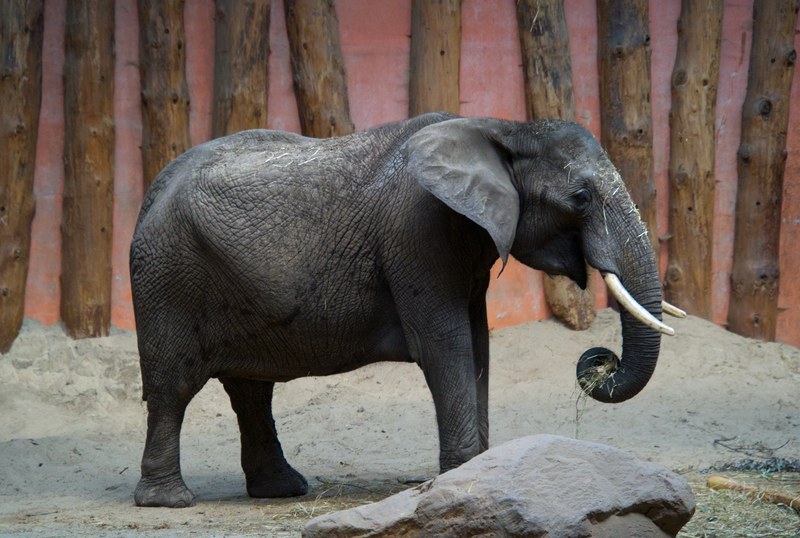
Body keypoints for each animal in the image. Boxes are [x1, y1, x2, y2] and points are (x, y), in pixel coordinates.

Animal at [130, 112, 682, 508]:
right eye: (582, 197)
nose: (600, 358)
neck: (504, 128)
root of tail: (151, 191)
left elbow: (478, 345)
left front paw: (481, 472)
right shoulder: (417, 234)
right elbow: (446, 346)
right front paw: (461, 475)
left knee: (251, 391)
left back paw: (282, 489)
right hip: (166, 276)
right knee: (174, 385)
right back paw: (169, 501)